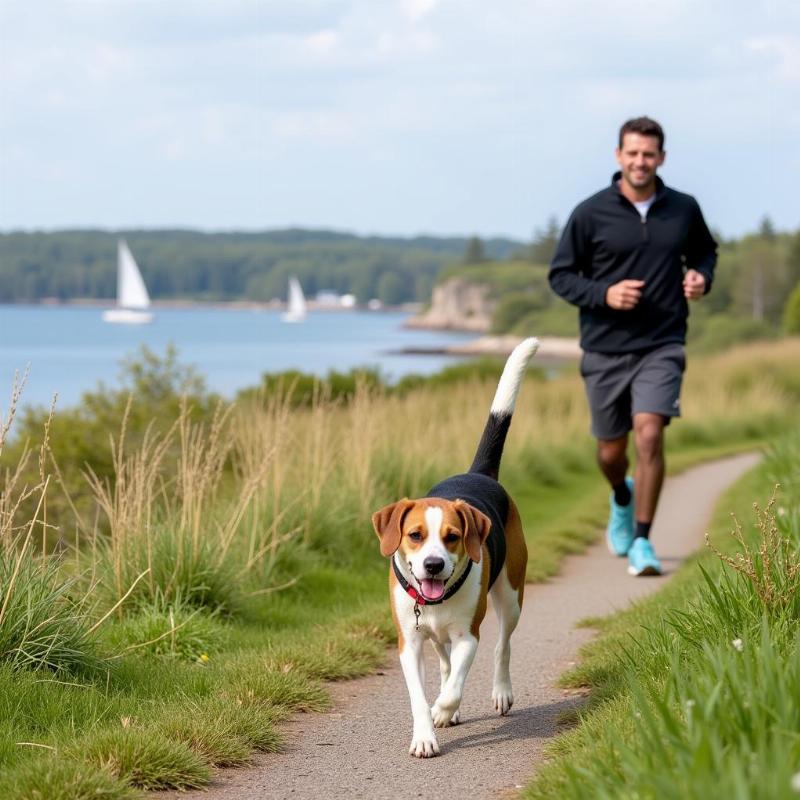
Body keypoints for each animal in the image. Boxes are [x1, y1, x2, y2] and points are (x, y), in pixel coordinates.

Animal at [374, 336, 536, 756]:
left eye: (452, 537)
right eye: (415, 535)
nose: (433, 565)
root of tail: (478, 474)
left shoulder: (468, 636)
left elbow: (454, 686)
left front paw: (442, 710)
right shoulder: (410, 643)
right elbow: (421, 694)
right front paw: (425, 735)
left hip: (511, 596)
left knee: (501, 647)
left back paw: (500, 691)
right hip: (436, 636)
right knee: (445, 662)